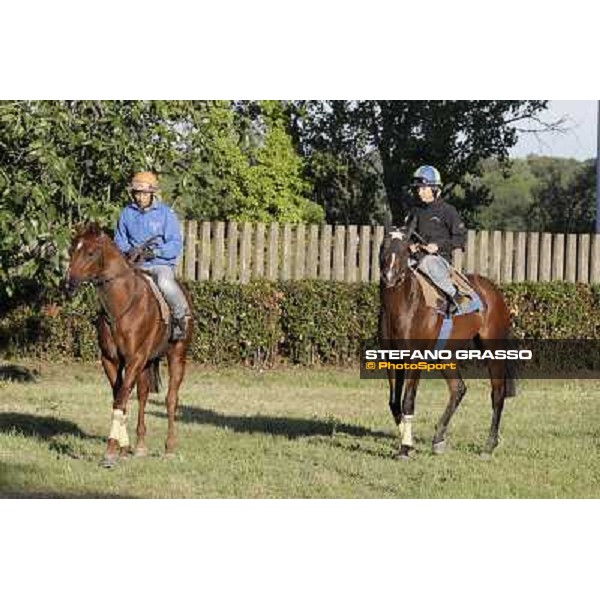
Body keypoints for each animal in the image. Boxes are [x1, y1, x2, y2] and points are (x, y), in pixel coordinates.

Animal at [63, 223, 191, 466]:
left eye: (91, 253)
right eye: (72, 249)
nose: (68, 283)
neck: (121, 306)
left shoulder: (134, 359)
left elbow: (121, 400)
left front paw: (110, 452)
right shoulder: (111, 360)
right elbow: (119, 398)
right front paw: (121, 448)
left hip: (177, 356)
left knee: (171, 399)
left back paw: (169, 448)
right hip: (147, 363)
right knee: (142, 396)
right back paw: (140, 445)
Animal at [380, 224, 516, 460]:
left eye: (405, 249)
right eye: (383, 246)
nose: (388, 277)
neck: (404, 306)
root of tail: (492, 290)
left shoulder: (416, 359)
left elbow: (408, 401)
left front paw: (405, 447)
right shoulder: (391, 359)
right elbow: (394, 402)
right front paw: (407, 441)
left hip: (492, 348)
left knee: (497, 392)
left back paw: (489, 445)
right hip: (446, 355)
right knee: (458, 389)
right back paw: (438, 439)